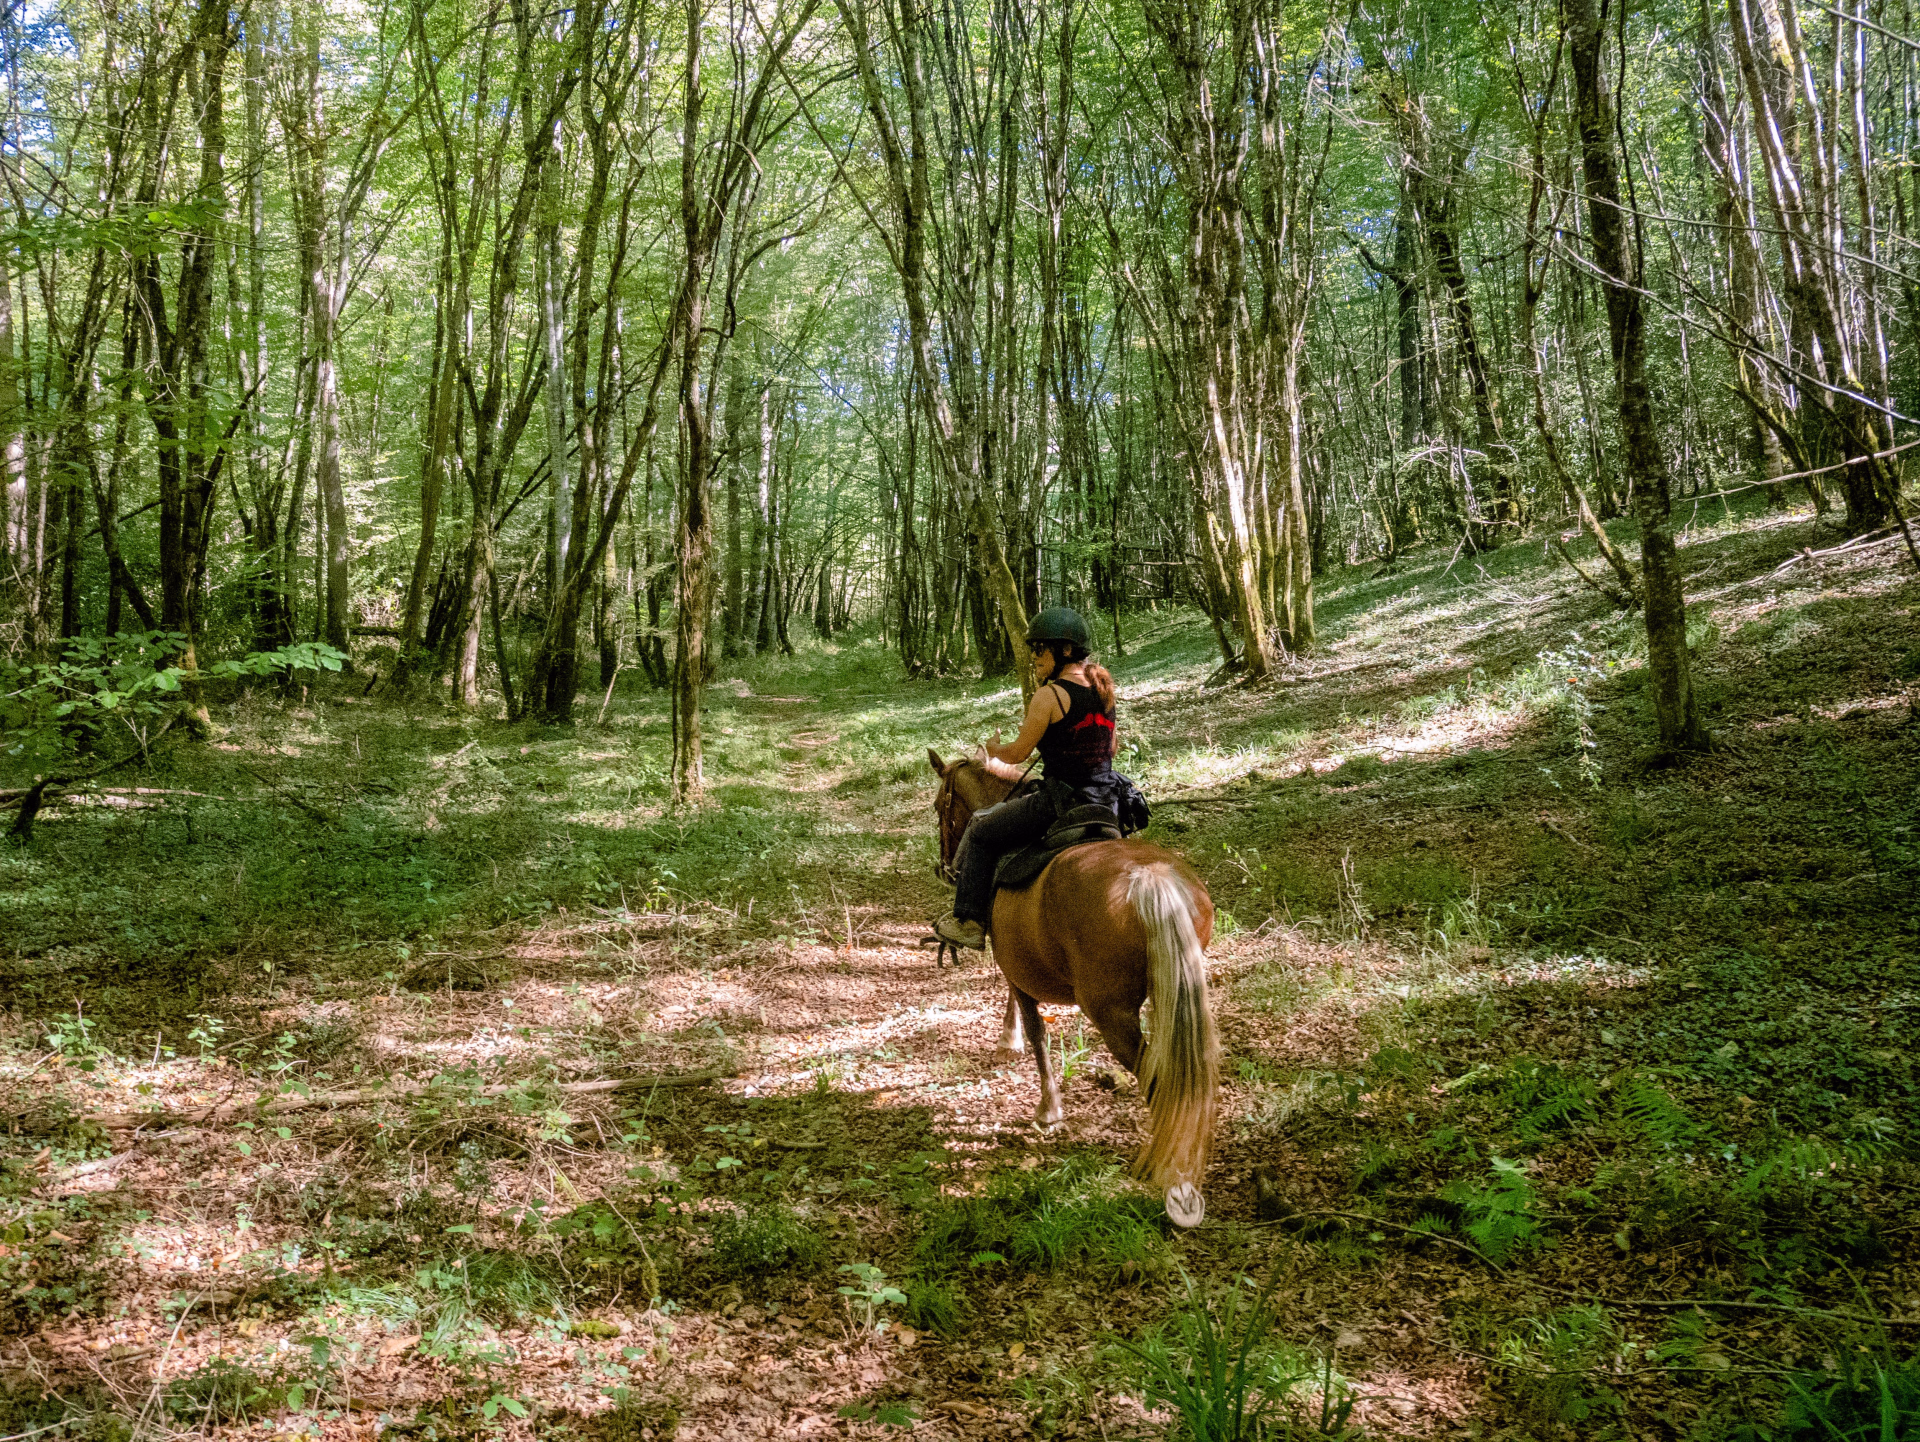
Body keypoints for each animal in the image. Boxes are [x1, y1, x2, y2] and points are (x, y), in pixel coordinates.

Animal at [927, 750, 1221, 1226]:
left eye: (941, 807)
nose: (945, 868)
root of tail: (1150, 878)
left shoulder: (1016, 965)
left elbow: (1035, 1030)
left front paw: (1047, 1107)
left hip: (1111, 1013)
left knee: (1158, 1081)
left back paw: (1172, 1178)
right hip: (1176, 991)